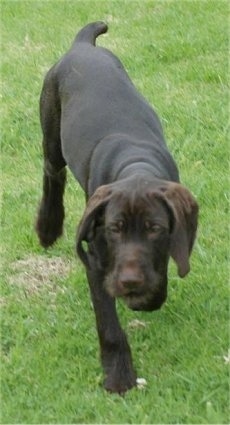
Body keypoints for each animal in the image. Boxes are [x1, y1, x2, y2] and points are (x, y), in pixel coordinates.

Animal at [35, 21, 198, 392]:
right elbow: (108, 324)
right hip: (51, 131)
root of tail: (82, 46)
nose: (130, 280)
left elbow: (160, 276)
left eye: (155, 229)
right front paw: (119, 375)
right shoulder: (96, 258)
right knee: (53, 175)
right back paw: (48, 227)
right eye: (114, 228)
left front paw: (147, 297)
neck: (135, 165)